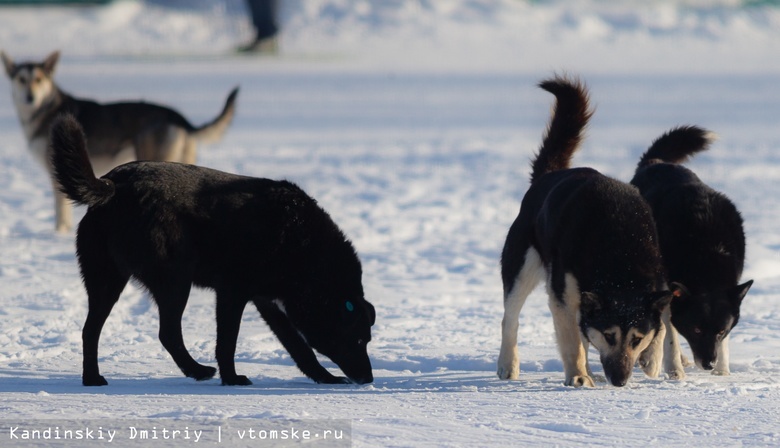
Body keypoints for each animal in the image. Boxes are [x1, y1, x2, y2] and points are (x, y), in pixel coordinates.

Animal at [2, 50, 238, 233]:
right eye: (21, 80)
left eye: (38, 80)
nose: (30, 97)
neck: (45, 110)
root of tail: (178, 117)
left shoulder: (56, 173)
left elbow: (61, 211)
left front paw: (60, 233)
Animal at [50, 114, 376, 386]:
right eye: (359, 340)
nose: (368, 378)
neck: (301, 243)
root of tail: (111, 185)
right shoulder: (233, 293)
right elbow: (228, 342)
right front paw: (231, 379)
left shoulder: (267, 302)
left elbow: (299, 348)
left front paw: (324, 378)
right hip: (175, 280)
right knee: (167, 333)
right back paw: (196, 371)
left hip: (107, 280)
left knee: (90, 330)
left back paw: (93, 378)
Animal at [500, 75, 676, 386]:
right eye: (608, 335)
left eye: (636, 339)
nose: (620, 380)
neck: (620, 255)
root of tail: (547, 176)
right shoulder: (562, 296)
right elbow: (572, 340)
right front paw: (578, 376)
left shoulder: (657, 285)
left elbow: (661, 326)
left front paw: (651, 358)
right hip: (522, 268)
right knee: (510, 318)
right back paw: (508, 364)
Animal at [632, 126, 752, 378]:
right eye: (696, 330)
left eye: (721, 331)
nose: (708, 364)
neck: (706, 254)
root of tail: (655, 162)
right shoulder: (667, 289)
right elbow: (667, 334)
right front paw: (672, 370)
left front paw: (722, 370)